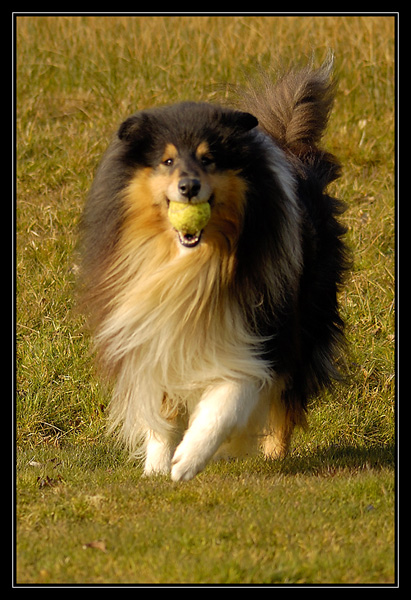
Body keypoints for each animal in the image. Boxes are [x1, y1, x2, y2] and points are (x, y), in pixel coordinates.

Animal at [79, 58, 350, 480]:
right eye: (167, 161)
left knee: (287, 400)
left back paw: (275, 455)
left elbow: (228, 397)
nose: (189, 187)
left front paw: (188, 460)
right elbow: (163, 411)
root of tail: (291, 149)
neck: (193, 265)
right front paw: (156, 470)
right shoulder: (154, 329)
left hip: (306, 318)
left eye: (209, 159)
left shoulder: (258, 330)